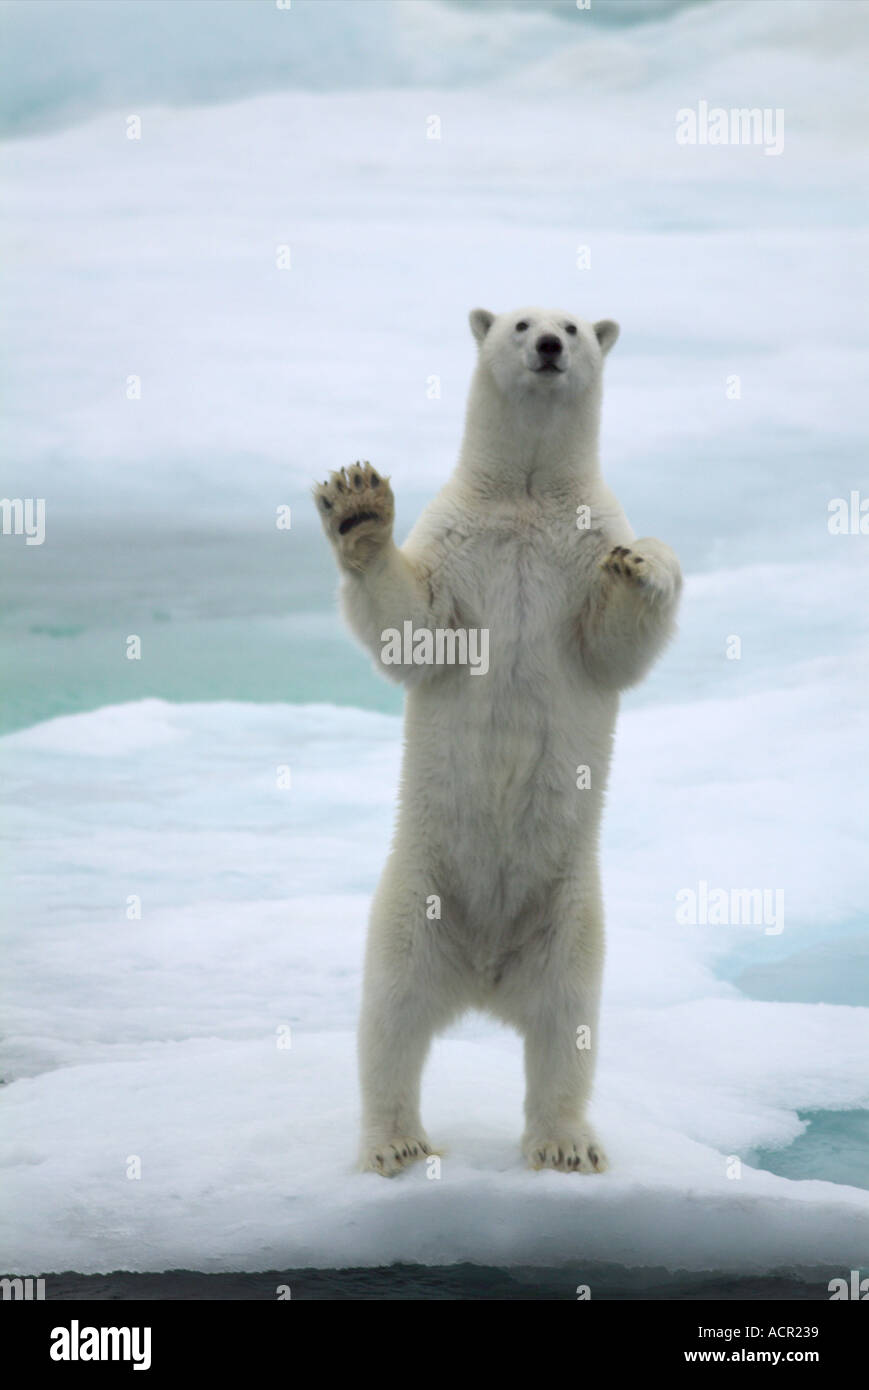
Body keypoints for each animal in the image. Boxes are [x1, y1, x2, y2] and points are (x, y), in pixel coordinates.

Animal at [315, 304, 681, 1173]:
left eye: (574, 326)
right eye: (519, 322)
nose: (547, 346)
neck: (524, 496)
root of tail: (483, 977)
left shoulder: (580, 546)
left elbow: (611, 643)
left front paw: (642, 562)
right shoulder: (458, 547)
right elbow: (412, 629)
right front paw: (357, 508)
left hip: (571, 916)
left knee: (565, 1030)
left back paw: (566, 1144)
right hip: (414, 897)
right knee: (390, 1019)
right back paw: (395, 1142)